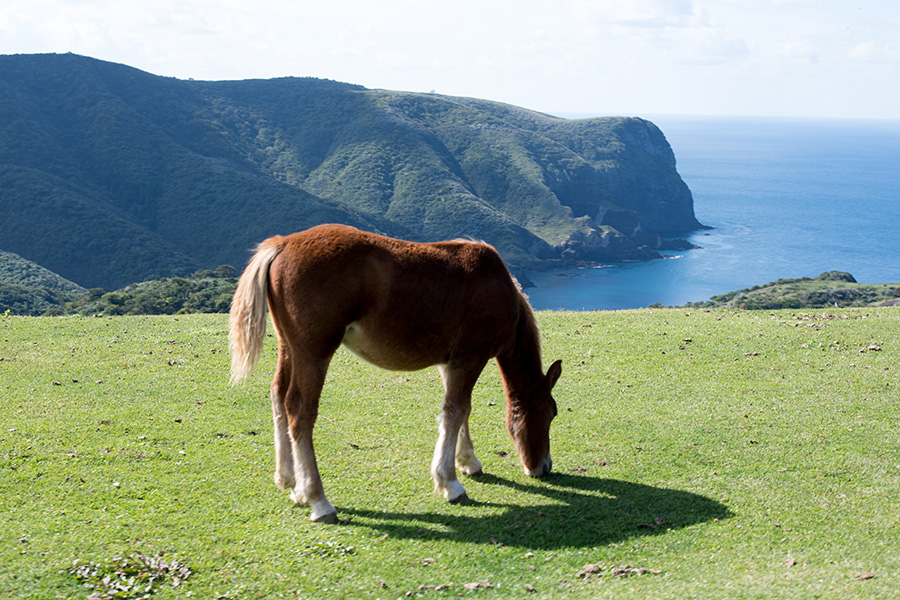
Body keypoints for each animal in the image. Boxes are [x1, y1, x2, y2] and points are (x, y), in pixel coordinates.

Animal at [229, 223, 560, 524]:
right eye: (552, 413)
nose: (543, 467)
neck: (497, 286)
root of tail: (283, 243)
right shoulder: (470, 358)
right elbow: (456, 410)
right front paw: (451, 483)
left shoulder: (450, 363)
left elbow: (459, 413)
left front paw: (468, 462)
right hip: (315, 352)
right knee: (299, 410)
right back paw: (318, 500)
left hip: (288, 346)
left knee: (278, 396)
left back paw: (291, 483)